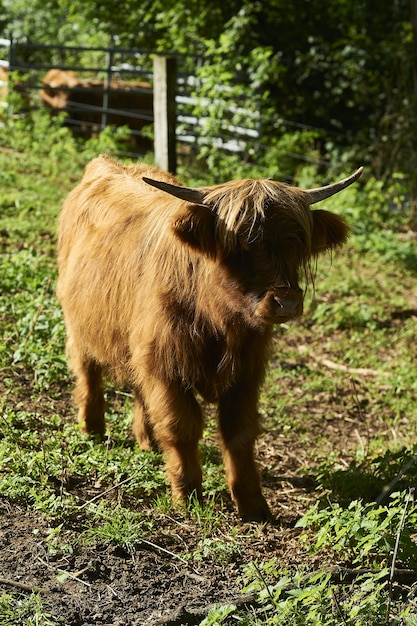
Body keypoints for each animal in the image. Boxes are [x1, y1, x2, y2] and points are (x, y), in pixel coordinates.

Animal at [57, 154, 362, 520]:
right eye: (241, 245)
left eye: (298, 243)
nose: (286, 301)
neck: (219, 323)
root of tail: (107, 163)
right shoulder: (165, 366)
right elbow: (181, 426)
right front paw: (187, 497)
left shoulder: (246, 371)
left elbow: (239, 432)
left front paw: (253, 505)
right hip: (80, 323)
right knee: (87, 371)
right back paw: (91, 429)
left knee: (138, 389)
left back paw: (147, 441)